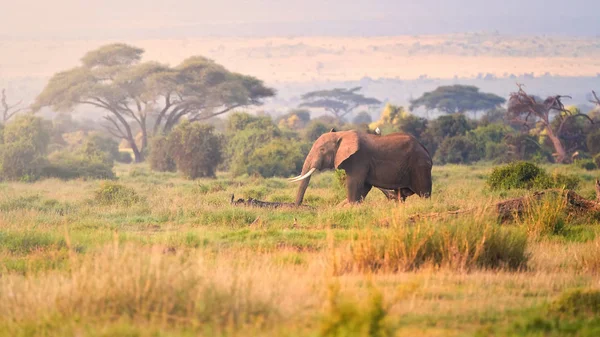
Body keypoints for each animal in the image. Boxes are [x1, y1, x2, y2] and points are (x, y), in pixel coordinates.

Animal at [290, 129, 432, 205]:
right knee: (401, 194)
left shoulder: (359, 159)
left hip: (420, 166)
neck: (342, 134)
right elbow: (364, 188)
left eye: (322, 150)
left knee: (424, 193)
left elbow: (354, 185)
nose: (297, 207)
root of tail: (426, 150)